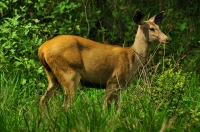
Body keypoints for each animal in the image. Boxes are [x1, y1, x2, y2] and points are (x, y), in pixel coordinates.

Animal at [38, 9, 170, 108]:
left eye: (159, 27)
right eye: (151, 28)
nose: (167, 39)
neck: (133, 58)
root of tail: (42, 49)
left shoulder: (120, 86)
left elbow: (116, 108)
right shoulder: (113, 80)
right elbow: (105, 106)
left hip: (52, 76)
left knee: (43, 100)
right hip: (69, 74)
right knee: (66, 106)